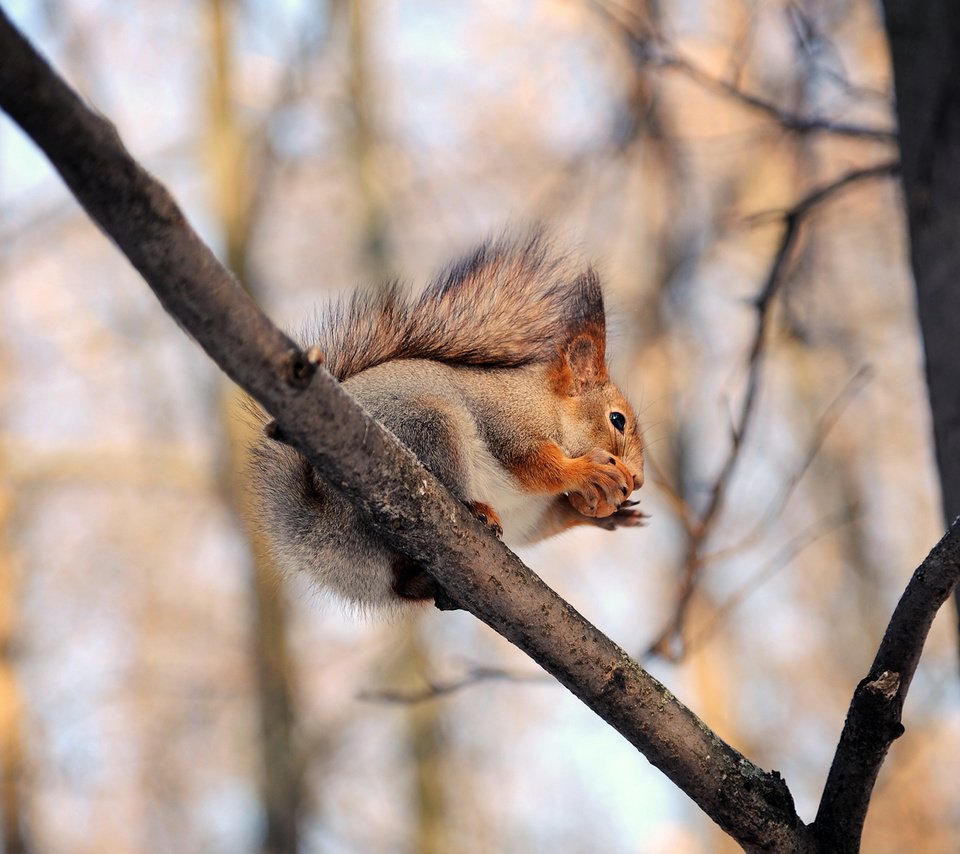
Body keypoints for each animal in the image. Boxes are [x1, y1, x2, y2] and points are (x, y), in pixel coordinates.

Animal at [251, 234, 648, 608]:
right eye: (617, 419)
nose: (639, 480)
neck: (549, 408)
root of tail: (317, 527)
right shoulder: (508, 423)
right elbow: (533, 465)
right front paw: (587, 471)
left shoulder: (529, 513)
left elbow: (545, 522)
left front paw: (609, 515)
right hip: (429, 428)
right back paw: (475, 509)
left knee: (402, 584)